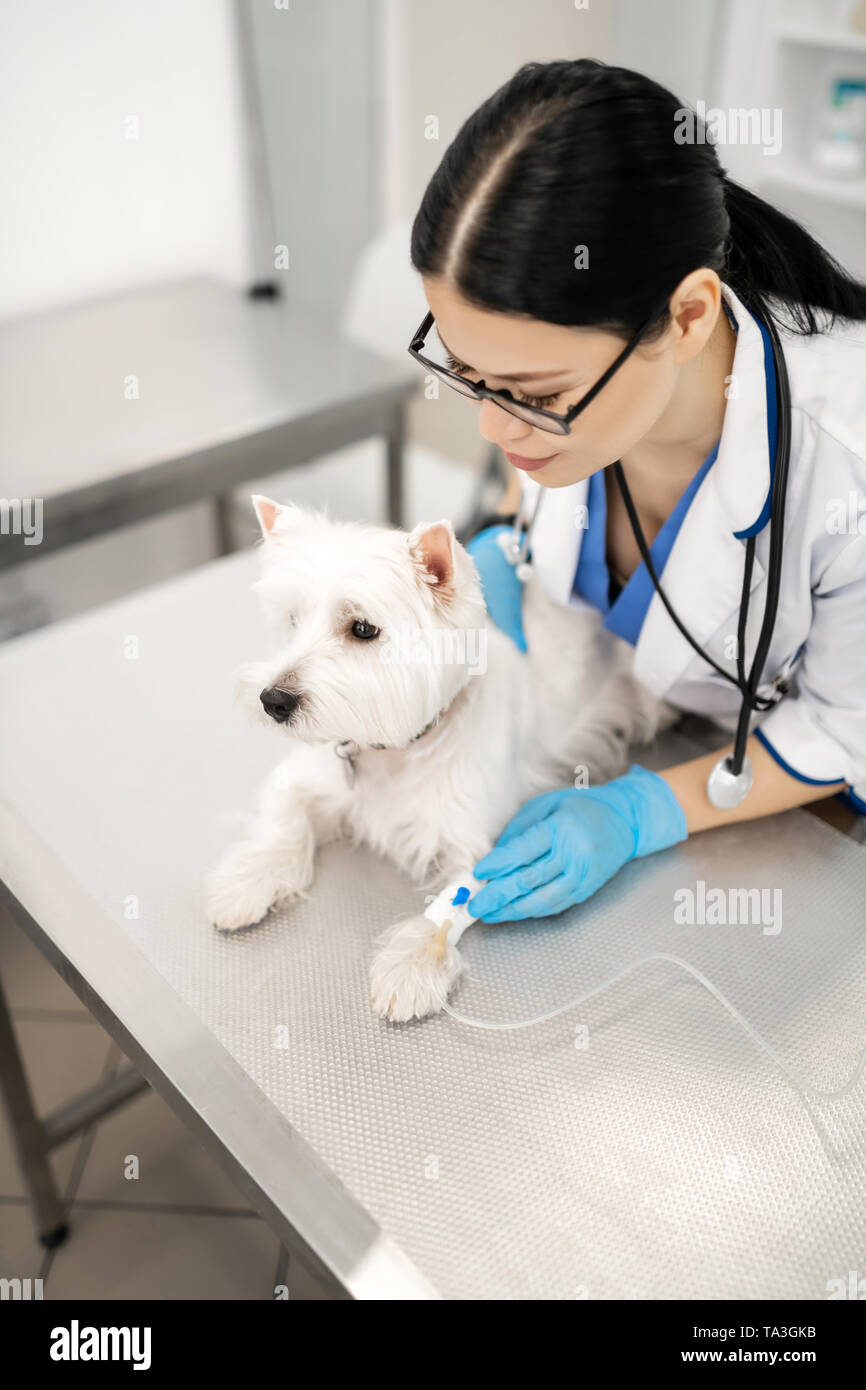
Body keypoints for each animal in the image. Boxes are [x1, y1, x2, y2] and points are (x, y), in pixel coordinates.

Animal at [207, 500, 675, 1023]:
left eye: (362, 629)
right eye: (292, 620)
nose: (273, 700)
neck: (396, 750)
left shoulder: (480, 839)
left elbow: (454, 901)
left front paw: (411, 965)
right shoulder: (306, 776)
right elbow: (283, 823)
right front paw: (245, 884)